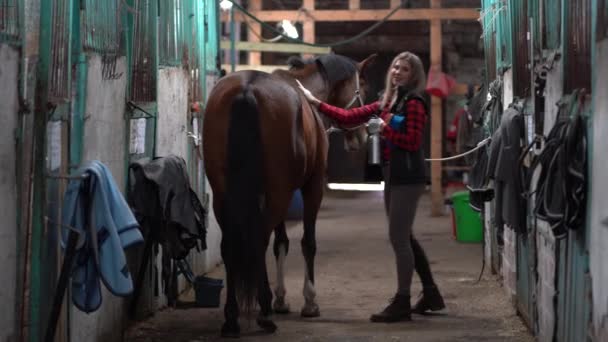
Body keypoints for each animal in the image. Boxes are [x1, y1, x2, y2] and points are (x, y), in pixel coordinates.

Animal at [204, 53, 376, 336]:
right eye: (363, 86)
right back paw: (264, 313)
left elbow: (281, 242)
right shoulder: (311, 187)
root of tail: (246, 89)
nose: (361, 136)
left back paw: (232, 318)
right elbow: (307, 242)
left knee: (231, 245)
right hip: (278, 192)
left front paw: (281, 299)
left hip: (224, 195)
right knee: (259, 240)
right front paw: (309, 302)